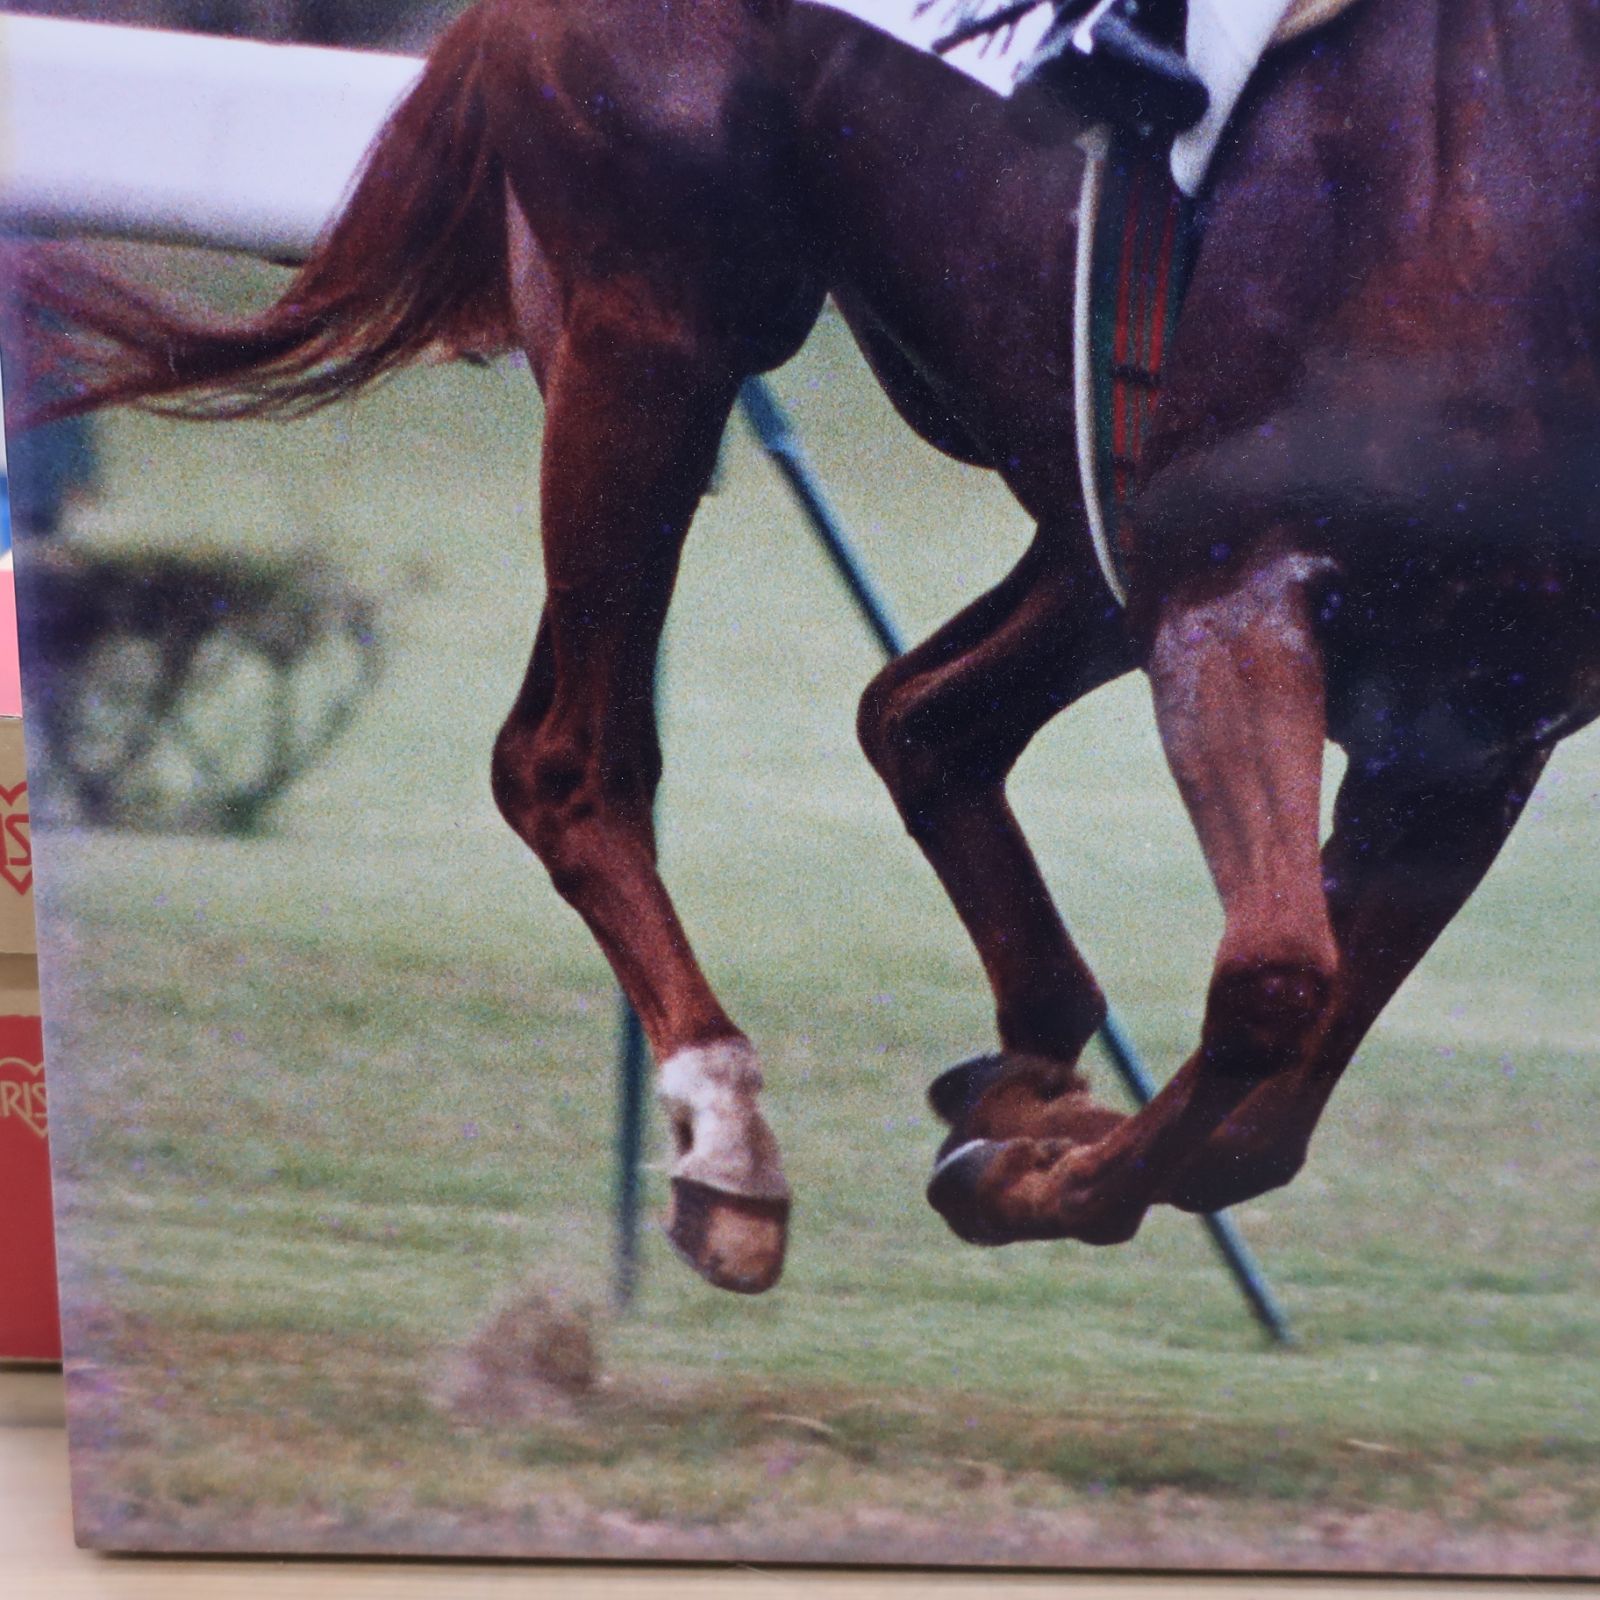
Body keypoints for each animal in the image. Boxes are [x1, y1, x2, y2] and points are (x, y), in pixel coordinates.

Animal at [9, 0, 1599, 1296]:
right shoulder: (1231, 585)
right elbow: (1273, 988)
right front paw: (1015, 1171)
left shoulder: (1467, 727)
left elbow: (1257, 1127)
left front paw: (1024, 1154)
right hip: (656, 322)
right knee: (568, 757)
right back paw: (731, 1140)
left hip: (1066, 510)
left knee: (917, 715)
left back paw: (1022, 1069)